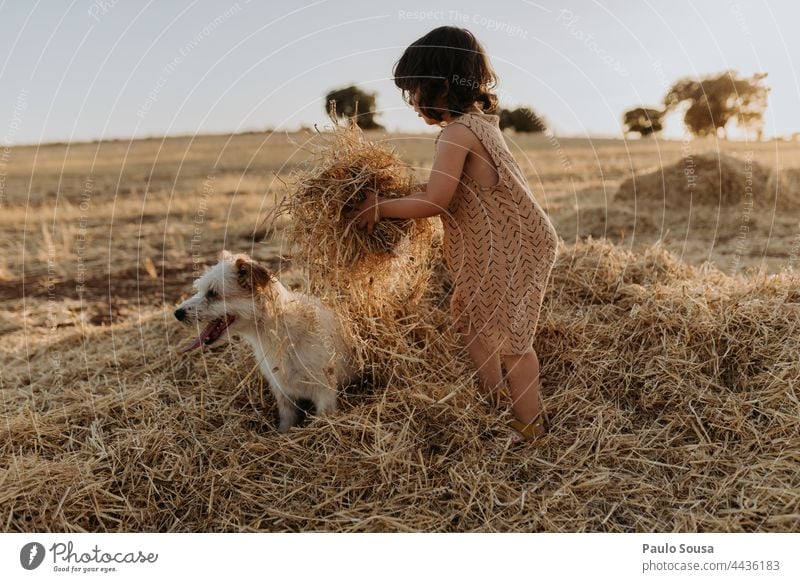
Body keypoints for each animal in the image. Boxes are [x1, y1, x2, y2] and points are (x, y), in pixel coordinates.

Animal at [177, 251, 360, 434]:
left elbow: (323, 415)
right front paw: (282, 433)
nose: (177, 313)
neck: (281, 332)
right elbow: (286, 418)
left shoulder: (325, 390)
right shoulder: (281, 390)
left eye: (213, 293)